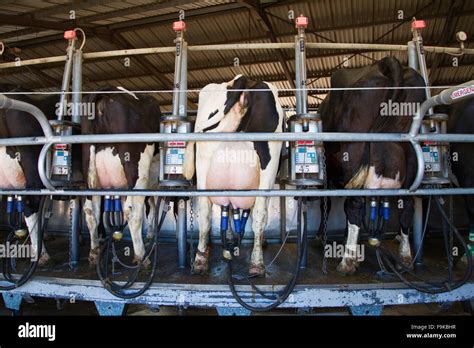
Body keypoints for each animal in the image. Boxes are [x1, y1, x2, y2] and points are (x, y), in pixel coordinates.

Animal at [81, 87, 161, 266]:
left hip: (89, 170)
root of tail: (104, 92)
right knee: (133, 211)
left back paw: (94, 252)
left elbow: (151, 208)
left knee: (91, 211)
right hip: (136, 172)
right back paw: (141, 256)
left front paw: (151, 234)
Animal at [183, 75, 284, 276]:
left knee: (205, 213)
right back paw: (257, 263)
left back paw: (200, 260)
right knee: (260, 213)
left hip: (203, 161)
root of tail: (242, 80)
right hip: (268, 163)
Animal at [318, 57, 426, 274]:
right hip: (410, 151)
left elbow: (328, 203)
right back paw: (405, 257)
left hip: (354, 148)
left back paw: (347, 261)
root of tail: (384, 63)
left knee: (354, 204)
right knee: (408, 205)